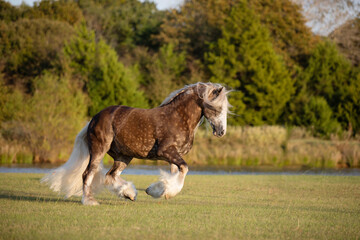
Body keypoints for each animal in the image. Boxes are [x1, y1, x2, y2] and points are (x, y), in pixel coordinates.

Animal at [40, 82, 229, 204]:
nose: (221, 132)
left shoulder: (174, 155)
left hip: (124, 156)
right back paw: (89, 200)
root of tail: (94, 119)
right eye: (216, 108)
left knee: (111, 175)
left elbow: (176, 173)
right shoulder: (166, 151)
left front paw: (158, 190)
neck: (178, 117)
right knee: (88, 174)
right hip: (99, 149)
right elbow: (184, 169)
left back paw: (129, 194)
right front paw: (164, 191)